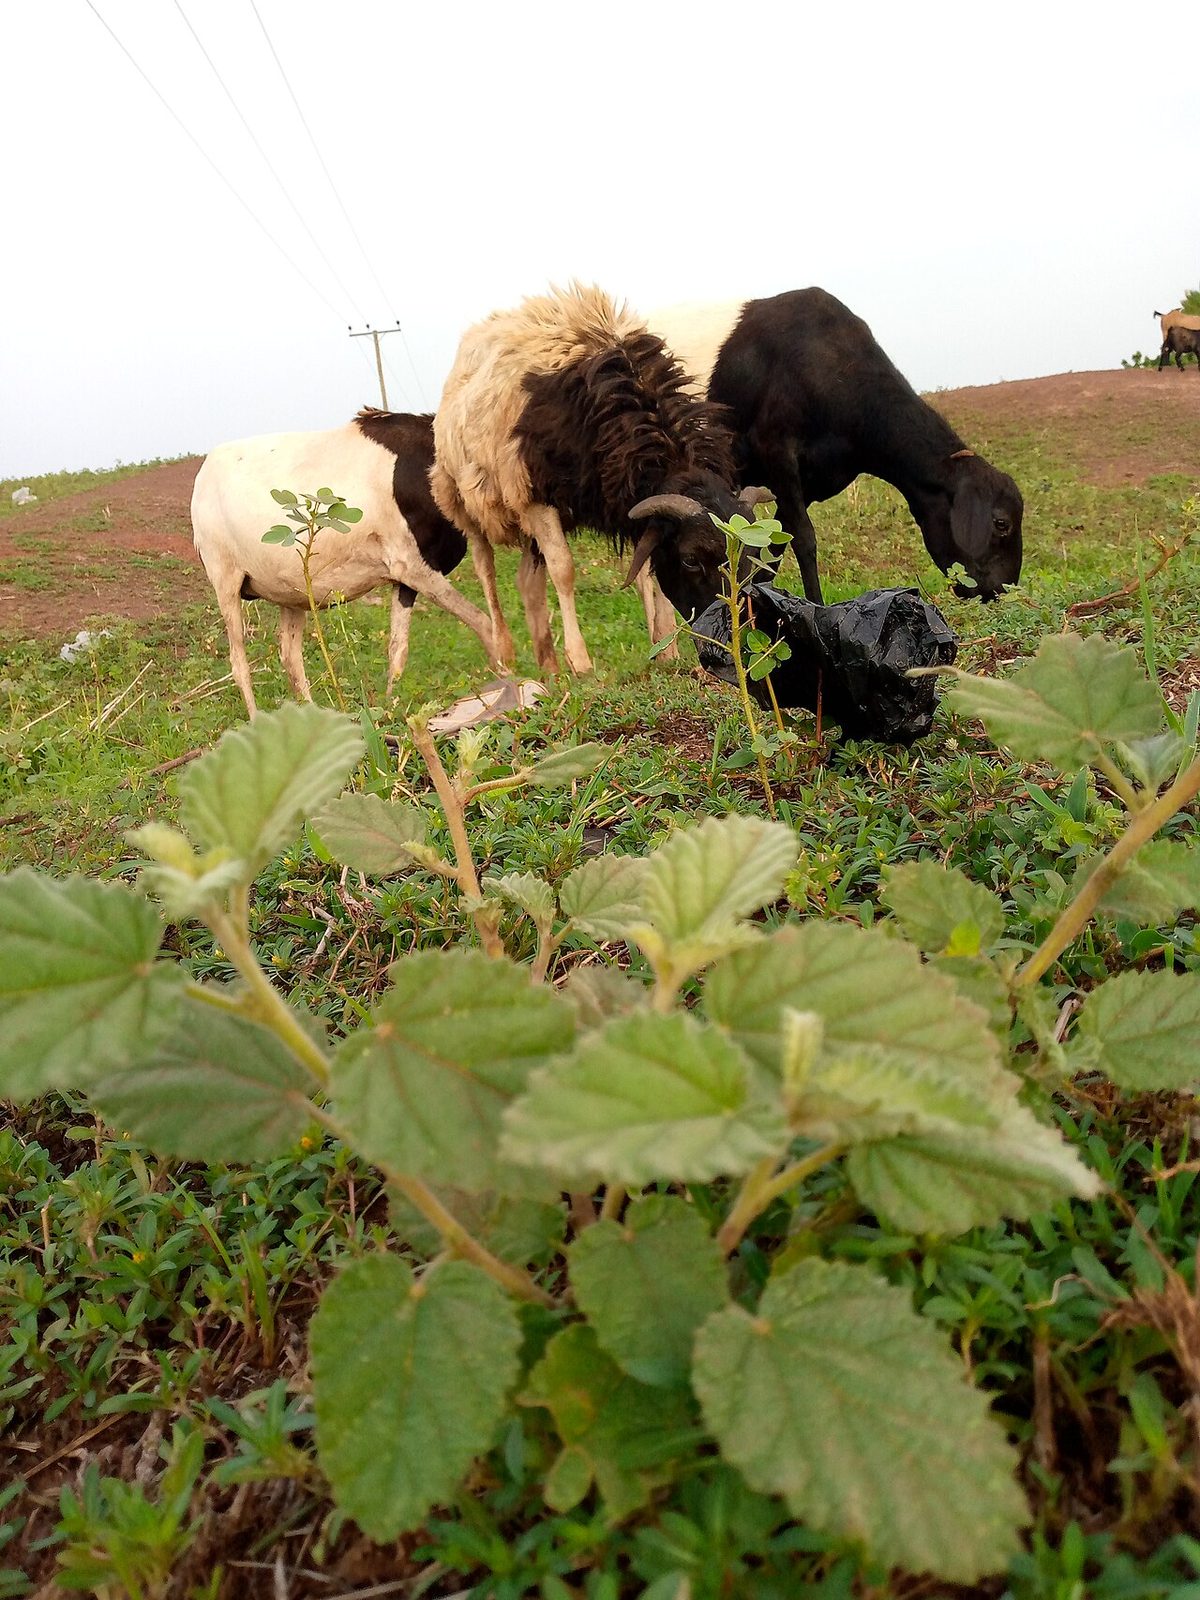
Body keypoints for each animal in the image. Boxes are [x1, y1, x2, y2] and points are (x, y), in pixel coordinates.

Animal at [191, 409, 497, 718]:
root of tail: (204, 473)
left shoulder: (407, 576)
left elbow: (397, 648)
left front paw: (390, 709)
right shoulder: (411, 565)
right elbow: (486, 624)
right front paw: (503, 678)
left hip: (289, 591)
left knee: (290, 656)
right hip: (226, 580)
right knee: (239, 662)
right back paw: (256, 720)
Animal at [430, 283, 765, 675]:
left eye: (752, 557)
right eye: (690, 560)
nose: (729, 646)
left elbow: (648, 571)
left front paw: (665, 649)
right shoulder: (535, 497)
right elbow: (564, 571)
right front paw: (580, 661)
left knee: (528, 583)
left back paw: (549, 665)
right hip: (466, 501)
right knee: (487, 571)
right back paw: (505, 655)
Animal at [650, 289, 1024, 603]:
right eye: (1001, 523)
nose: (1002, 589)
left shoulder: (813, 480)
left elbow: (775, 544)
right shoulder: (776, 450)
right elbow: (803, 539)